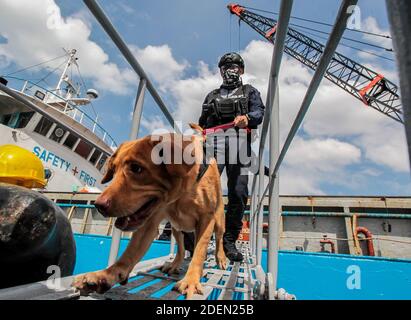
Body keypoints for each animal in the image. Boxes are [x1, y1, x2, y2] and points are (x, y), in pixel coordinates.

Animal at [74, 124, 229, 298]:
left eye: (136, 168)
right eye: (113, 170)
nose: (99, 205)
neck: (180, 194)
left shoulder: (206, 219)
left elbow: (199, 251)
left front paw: (191, 280)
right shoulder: (150, 222)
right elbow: (129, 253)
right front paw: (107, 274)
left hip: (219, 220)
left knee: (218, 239)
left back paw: (221, 258)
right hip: (175, 227)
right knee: (181, 247)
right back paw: (175, 263)